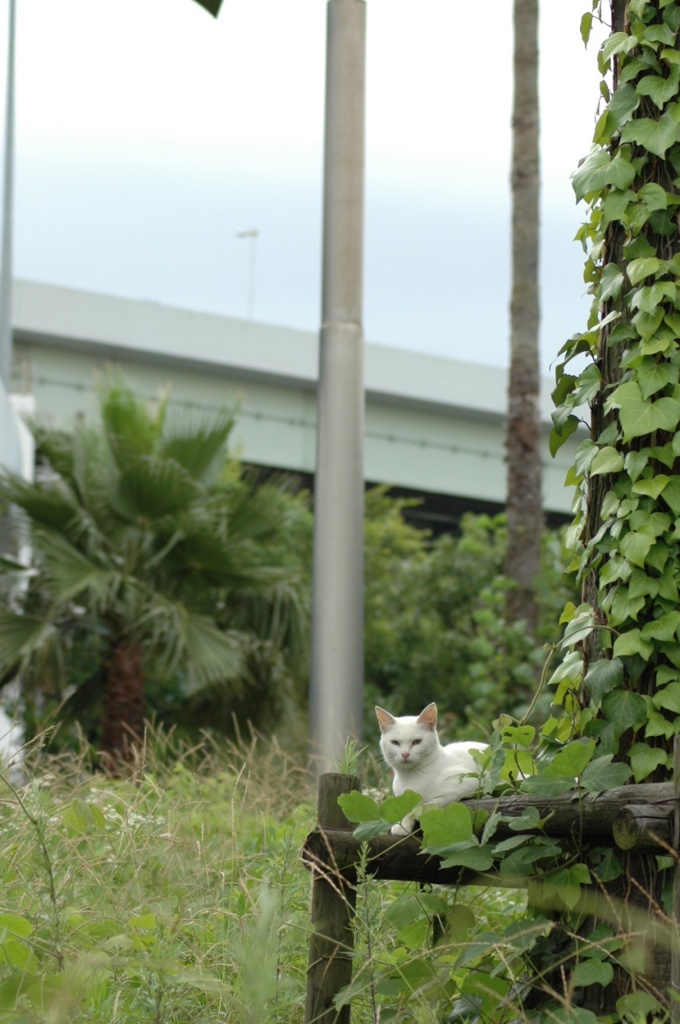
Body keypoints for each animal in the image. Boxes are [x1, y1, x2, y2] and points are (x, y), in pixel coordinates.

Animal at [374, 704, 485, 839]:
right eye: (395, 742)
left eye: (417, 741)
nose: (405, 754)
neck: (410, 777)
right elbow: (407, 806)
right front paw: (403, 824)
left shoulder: (469, 782)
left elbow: (425, 805)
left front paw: (413, 816)